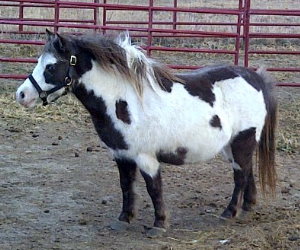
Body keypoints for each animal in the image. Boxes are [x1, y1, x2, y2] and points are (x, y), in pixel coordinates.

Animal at [15, 30, 276, 236]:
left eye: (50, 66)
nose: (22, 95)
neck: (124, 100)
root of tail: (254, 76)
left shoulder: (146, 157)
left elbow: (154, 189)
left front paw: (159, 224)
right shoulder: (121, 154)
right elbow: (126, 186)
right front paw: (124, 219)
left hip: (242, 140)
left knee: (240, 176)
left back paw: (229, 212)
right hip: (231, 146)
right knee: (247, 171)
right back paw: (247, 208)